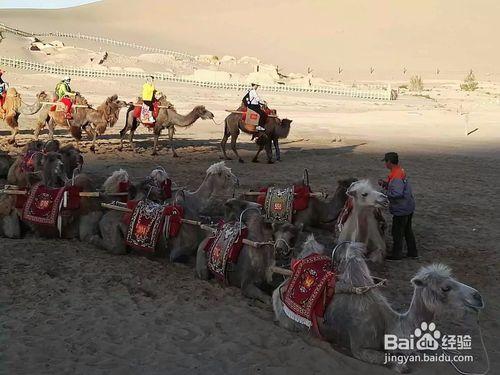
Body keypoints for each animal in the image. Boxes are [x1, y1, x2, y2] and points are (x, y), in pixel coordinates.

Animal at [274, 238, 484, 374]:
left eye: (453, 279)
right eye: (445, 287)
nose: (478, 297)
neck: (390, 325)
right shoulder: (360, 348)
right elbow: (400, 365)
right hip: (289, 320)